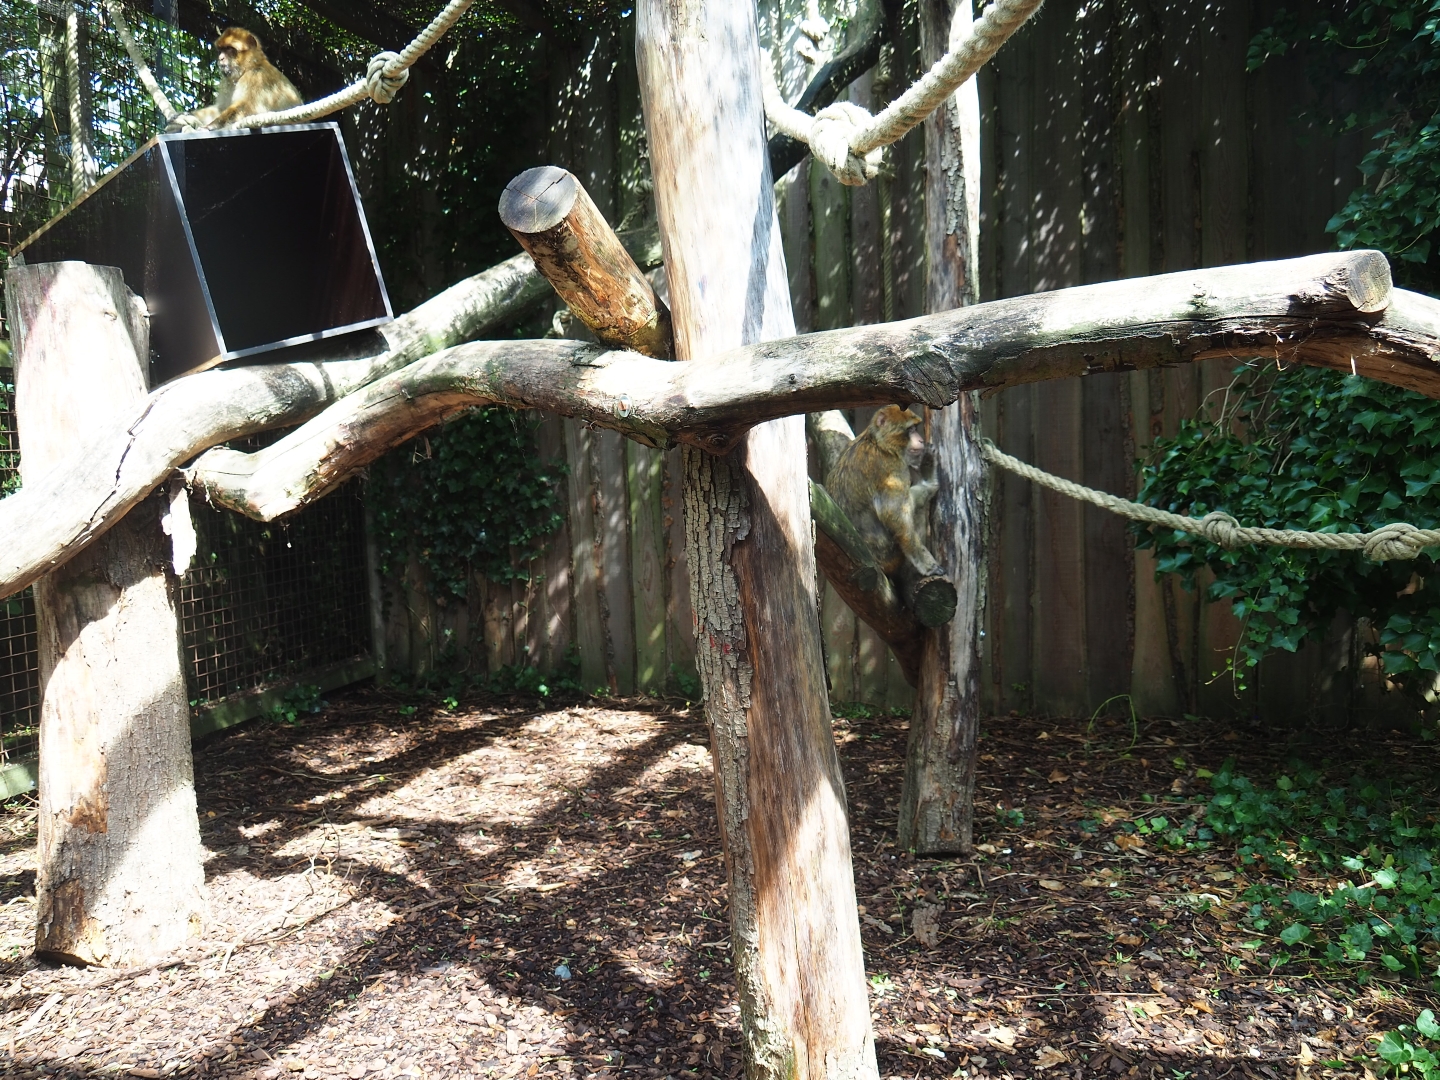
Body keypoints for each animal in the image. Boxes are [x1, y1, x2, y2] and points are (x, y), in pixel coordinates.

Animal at [166, 29, 302, 132]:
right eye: (221, 50)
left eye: (229, 49)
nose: (220, 58)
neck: (248, 68)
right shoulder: (227, 82)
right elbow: (221, 108)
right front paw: (184, 116)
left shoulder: (256, 77)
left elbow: (249, 108)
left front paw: (209, 127)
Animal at [825, 405, 943, 579]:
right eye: (911, 429)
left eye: (915, 428)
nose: (920, 440)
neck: (879, 443)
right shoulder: (893, 467)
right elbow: (896, 518)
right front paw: (928, 565)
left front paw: (929, 480)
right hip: (890, 559)